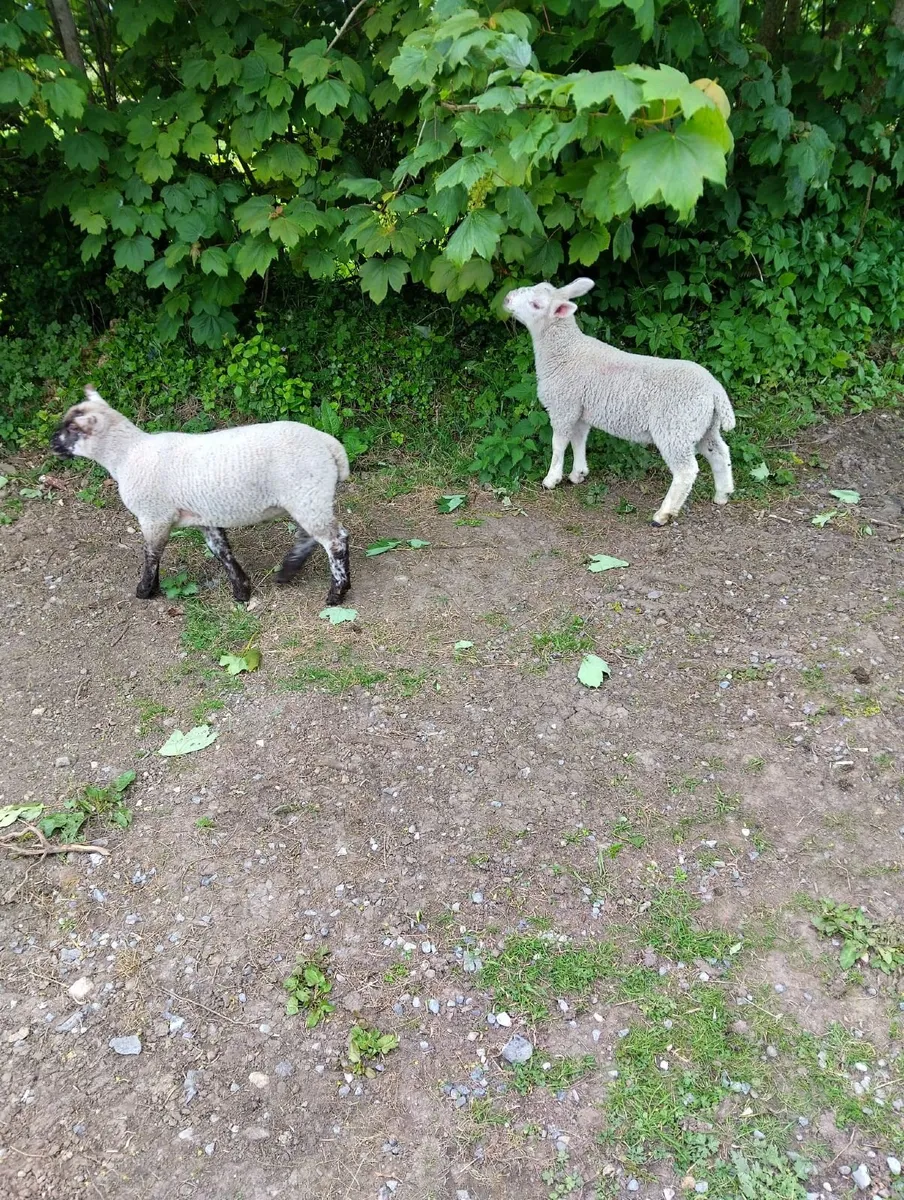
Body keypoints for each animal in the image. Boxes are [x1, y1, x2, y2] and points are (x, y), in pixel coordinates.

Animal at [50, 387, 351, 605]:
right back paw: (287, 571)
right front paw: (242, 591)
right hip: (307, 496)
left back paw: (337, 593)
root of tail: (329, 444)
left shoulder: (154, 516)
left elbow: (151, 554)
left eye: (72, 429)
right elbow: (221, 551)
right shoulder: (203, 515)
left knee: (335, 541)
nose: (52, 443)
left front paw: (145, 590)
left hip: (307, 493)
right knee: (309, 536)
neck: (126, 454)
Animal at [502, 278, 736, 526]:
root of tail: (715, 391)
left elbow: (558, 444)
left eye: (536, 305)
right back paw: (723, 494)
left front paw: (551, 479)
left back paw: (663, 514)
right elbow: (579, 440)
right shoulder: (580, 409)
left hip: (675, 428)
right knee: (719, 452)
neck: (566, 351)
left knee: (686, 470)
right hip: (703, 426)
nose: (506, 299)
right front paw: (578, 474)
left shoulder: (563, 406)